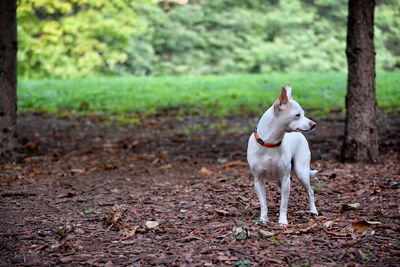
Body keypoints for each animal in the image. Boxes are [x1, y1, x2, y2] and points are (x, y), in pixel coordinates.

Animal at [247, 84, 318, 226]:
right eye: (297, 115)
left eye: (303, 114)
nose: (313, 124)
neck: (270, 144)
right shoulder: (258, 181)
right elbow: (263, 203)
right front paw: (263, 219)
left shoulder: (286, 179)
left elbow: (283, 204)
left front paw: (283, 221)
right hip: (281, 181)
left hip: (301, 172)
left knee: (310, 191)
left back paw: (313, 211)